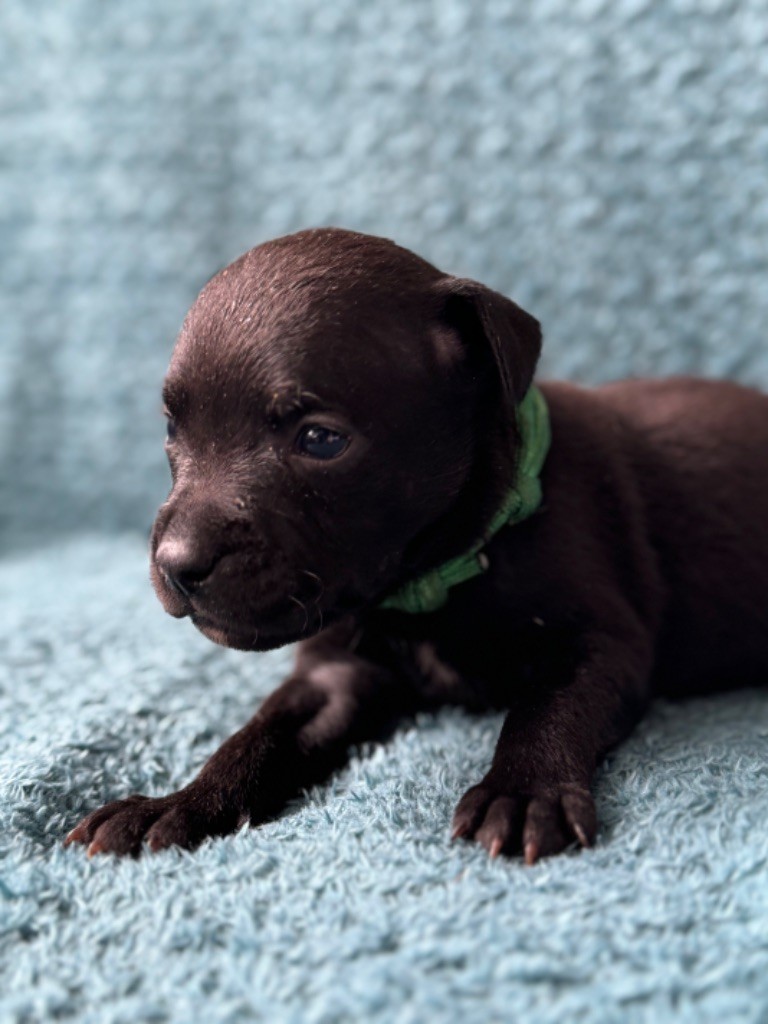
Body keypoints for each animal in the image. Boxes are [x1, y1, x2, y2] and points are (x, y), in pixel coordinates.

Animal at [64, 228, 768, 860]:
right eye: (170, 429)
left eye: (321, 440)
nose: (176, 564)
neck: (430, 579)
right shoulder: (334, 674)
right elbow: (255, 738)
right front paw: (177, 804)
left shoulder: (597, 641)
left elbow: (548, 709)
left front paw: (523, 793)